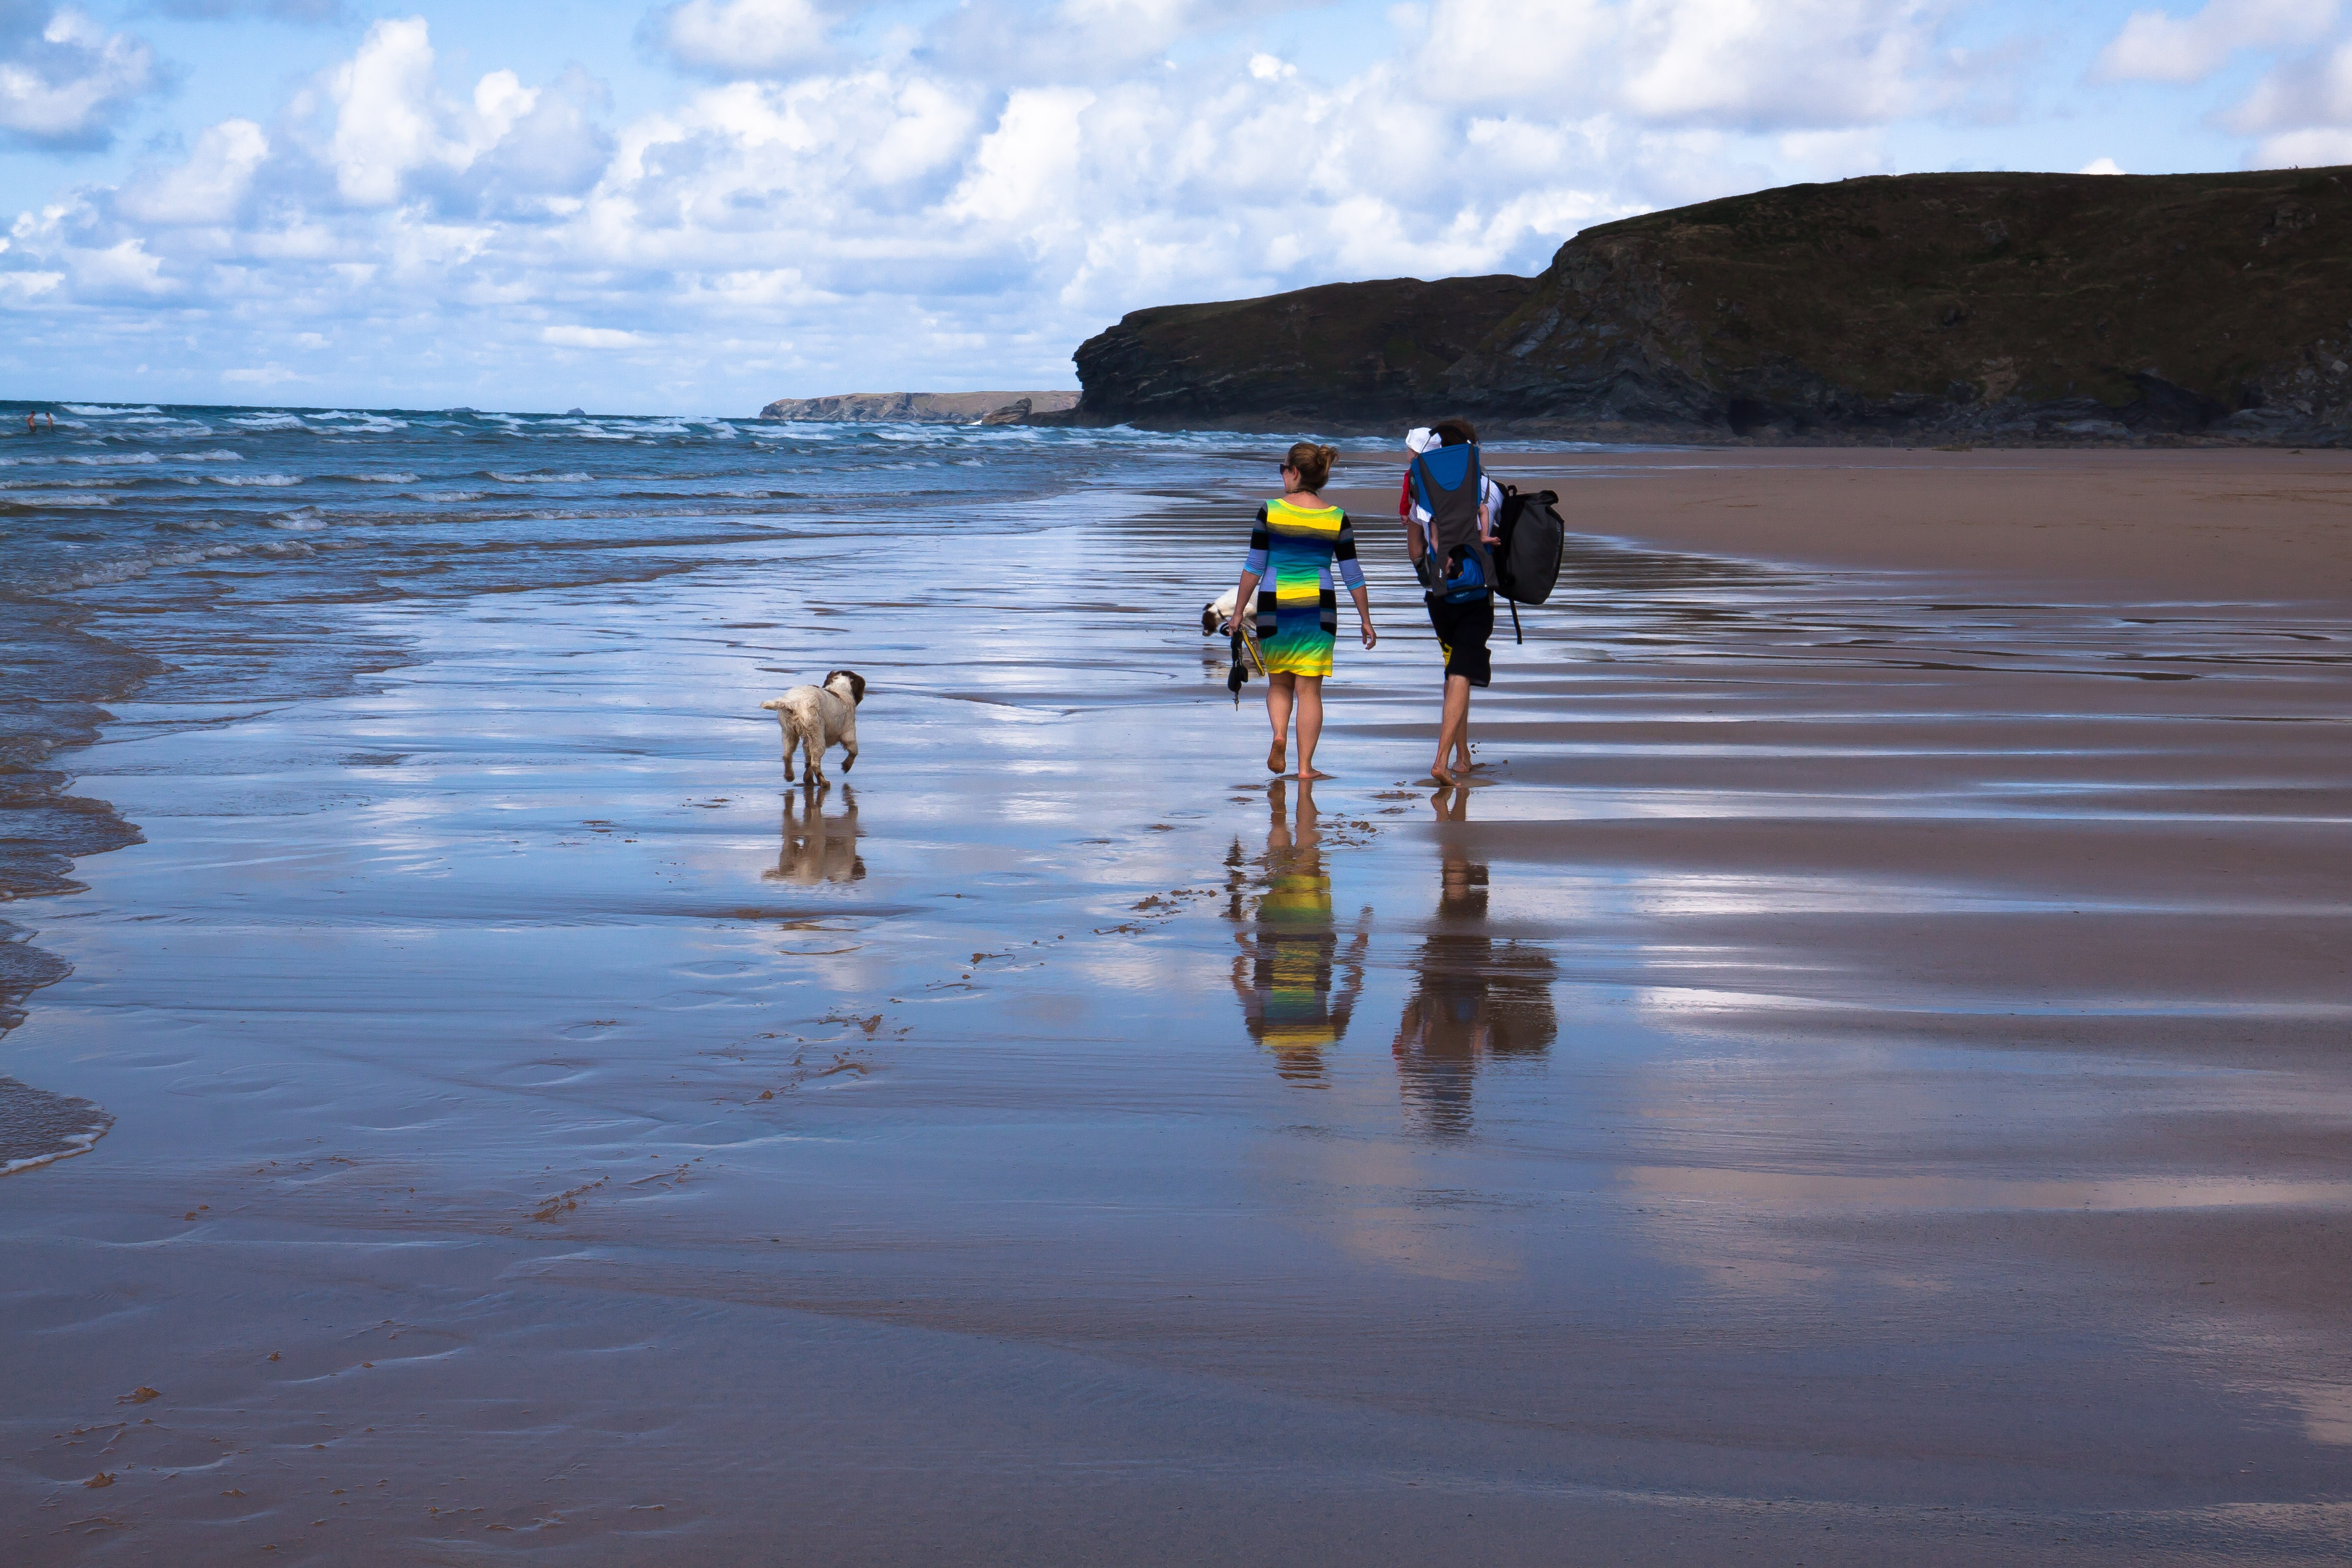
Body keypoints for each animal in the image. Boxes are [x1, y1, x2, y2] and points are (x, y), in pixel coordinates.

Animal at [762, 667, 865, 785]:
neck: (840, 689)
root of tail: (794, 702)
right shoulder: (848, 733)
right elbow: (854, 751)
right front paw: (846, 766)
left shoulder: (807, 740)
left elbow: (808, 761)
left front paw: (808, 778)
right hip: (818, 737)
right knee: (815, 763)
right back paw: (824, 783)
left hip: (789, 733)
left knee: (788, 756)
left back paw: (790, 776)